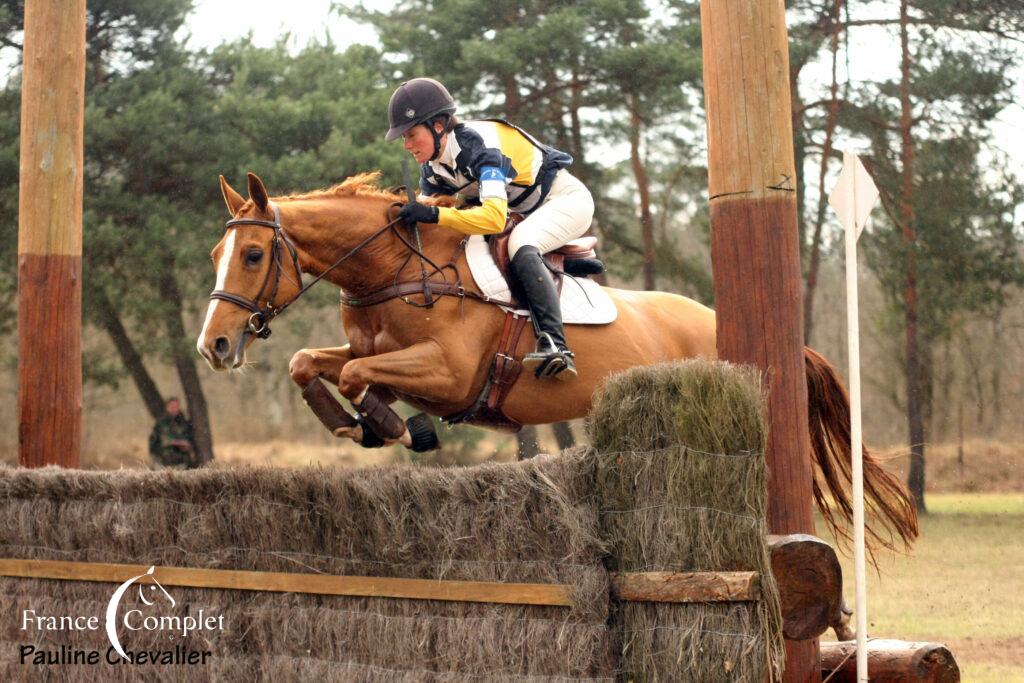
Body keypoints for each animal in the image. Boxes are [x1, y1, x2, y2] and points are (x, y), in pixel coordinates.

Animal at [195, 174, 917, 552]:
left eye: (254, 255)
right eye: (215, 256)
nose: (215, 346)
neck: (396, 268)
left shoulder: (447, 373)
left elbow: (351, 375)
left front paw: (398, 428)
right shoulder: (377, 352)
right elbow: (308, 361)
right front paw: (358, 424)